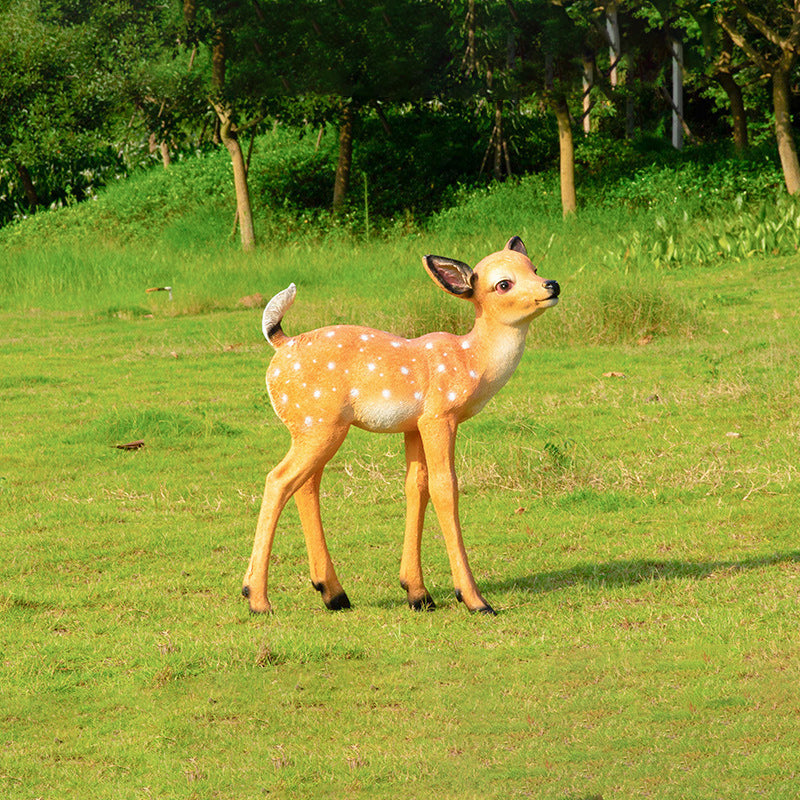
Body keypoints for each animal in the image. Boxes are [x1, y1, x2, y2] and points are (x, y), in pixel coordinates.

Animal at [242, 236, 560, 615]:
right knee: (278, 479)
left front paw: (418, 594)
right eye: (503, 284)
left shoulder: (415, 425)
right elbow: (445, 487)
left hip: (313, 426)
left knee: (305, 485)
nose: (552, 285)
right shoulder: (440, 415)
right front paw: (475, 599)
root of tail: (282, 343)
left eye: (534, 267)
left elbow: (416, 487)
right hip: (319, 423)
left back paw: (334, 594)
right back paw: (257, 598)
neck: (471, 361)